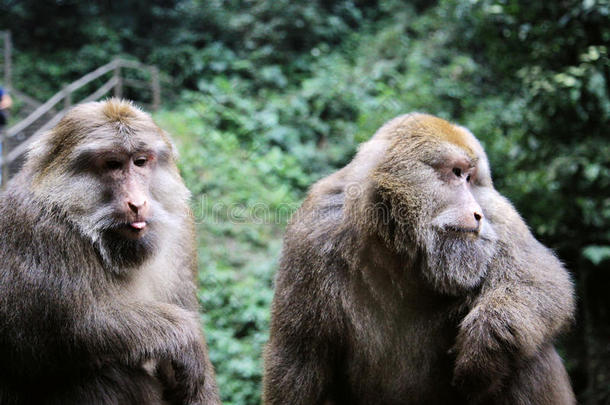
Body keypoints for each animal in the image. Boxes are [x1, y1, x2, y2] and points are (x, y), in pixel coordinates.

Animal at [0, 98, 220, 404]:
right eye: (113, 164)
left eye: (140, 161)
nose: (137, 203)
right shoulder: (32, 227)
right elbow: (54, 334)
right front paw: (185, 338)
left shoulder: (182, 230)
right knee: (107, 373)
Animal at [262, 113, 576, 404]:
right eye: (456, 172)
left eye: (470, 178)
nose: (477, 213)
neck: (396, 247)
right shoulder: (312, 234)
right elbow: (300, 358)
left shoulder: (498, 214)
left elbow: (542, 279)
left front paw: (485, 343)